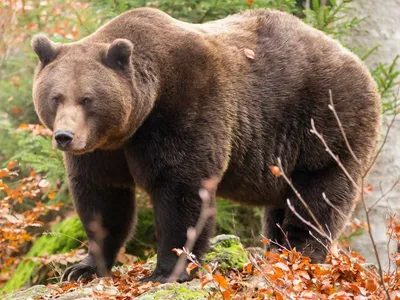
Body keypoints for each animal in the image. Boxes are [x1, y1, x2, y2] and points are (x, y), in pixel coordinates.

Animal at [31, 7, 382, 284]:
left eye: (87, 99)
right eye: (55, 97)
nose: (65, 136)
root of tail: (361, 65)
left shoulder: (186, 107)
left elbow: (182, 188)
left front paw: (167, 271)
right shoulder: (104, 150)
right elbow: (102, 199)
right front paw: (82, 267)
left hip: (325, 121)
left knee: (318, 193)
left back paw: (300, 254)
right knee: (282, 203)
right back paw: (276, 251)